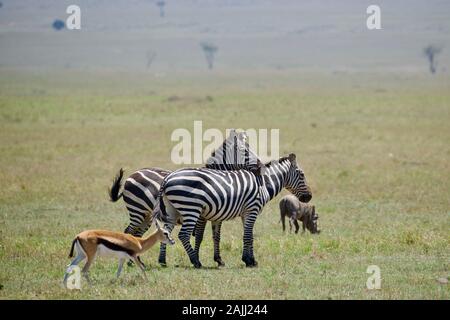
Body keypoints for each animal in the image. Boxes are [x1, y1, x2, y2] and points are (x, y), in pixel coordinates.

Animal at [109, 129, 264, 266]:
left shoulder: (217, 216)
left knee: (137, 234)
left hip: (146, 216)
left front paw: (218, 260)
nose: (261, 166)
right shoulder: (202, 216)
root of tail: (133, 174)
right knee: (128, 231)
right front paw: (197, 257)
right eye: (245, 151)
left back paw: (136, 261)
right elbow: (200, 236)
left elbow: (216, 236)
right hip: (138, 210)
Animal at [153, 152, 312, 268]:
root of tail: (167, 178)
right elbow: (247, 236)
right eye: (302, 174)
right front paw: (248, 261)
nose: (309, 197)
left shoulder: (246, 213)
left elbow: (250, 236)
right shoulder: (252, 210)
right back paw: (196, 262)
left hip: (172, 211)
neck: (263, 184)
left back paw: (162, 261)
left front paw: (251, 259)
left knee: (165, 232)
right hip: (191, 209)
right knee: (184, 235)